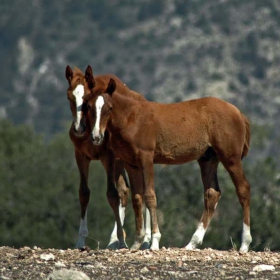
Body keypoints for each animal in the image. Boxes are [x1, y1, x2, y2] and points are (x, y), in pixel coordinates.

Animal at [65, 65, 151, 249]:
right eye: (69, 96)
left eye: (86, 99)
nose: (79, 129)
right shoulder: (81, 156)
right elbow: (84, 193)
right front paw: (80, 240)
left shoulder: (108, 157)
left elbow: (112, 194)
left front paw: (122, 240)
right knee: (125, 190)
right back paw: (115, 240)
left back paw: (145, 239)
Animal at [83, 74, 252, 252]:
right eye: (88, 106)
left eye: (109, 107)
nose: (96, 137)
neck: (132, 118)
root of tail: (238, 113)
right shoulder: (131, 164)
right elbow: (137, 199)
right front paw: (136, 242)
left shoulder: (146, 159)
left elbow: (150, 196)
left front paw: (154, 242)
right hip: (208, 159)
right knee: (212, 193)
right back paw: (192, 243)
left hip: (230, 158)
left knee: (243, 189)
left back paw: (244, 244)